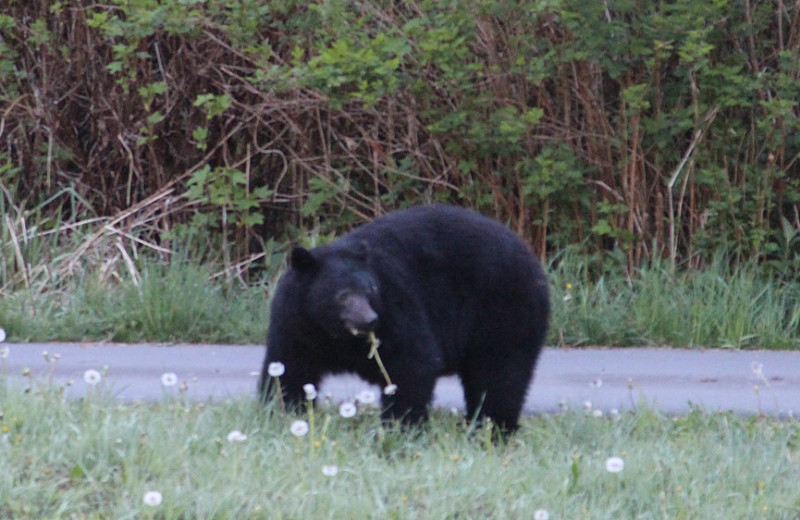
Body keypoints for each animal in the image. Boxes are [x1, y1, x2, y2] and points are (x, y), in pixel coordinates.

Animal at [260, 203, 548, 430]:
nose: (370, 320)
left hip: (503, 312)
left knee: (500, 375)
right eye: (343, 295)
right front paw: (279, 415)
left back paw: (493, 428)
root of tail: (534, 263)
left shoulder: (397, 307)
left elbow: (411, 364)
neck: (336, 336)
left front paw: (402, 429)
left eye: (371, 289)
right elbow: (289, 369)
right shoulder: (296, 325)